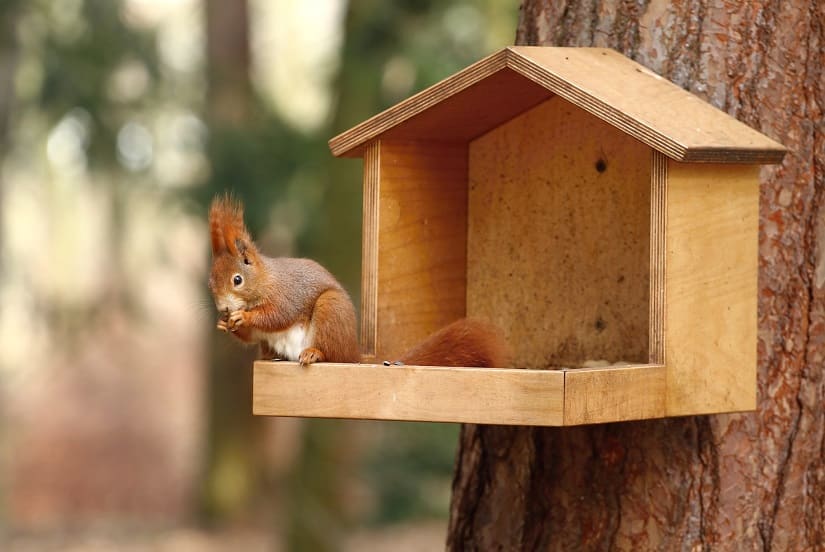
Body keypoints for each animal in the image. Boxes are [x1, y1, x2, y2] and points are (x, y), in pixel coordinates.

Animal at [209, 193, 508, 366]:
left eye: (237, 280)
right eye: (211, 284)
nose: (224, 308)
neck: (263, 280)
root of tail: (353, 353)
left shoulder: (287, 294)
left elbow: (278, 315)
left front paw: (243, 317)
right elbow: (251, 336)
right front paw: (225, 324)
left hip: (331, 311)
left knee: (333, 355)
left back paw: (314, 353)